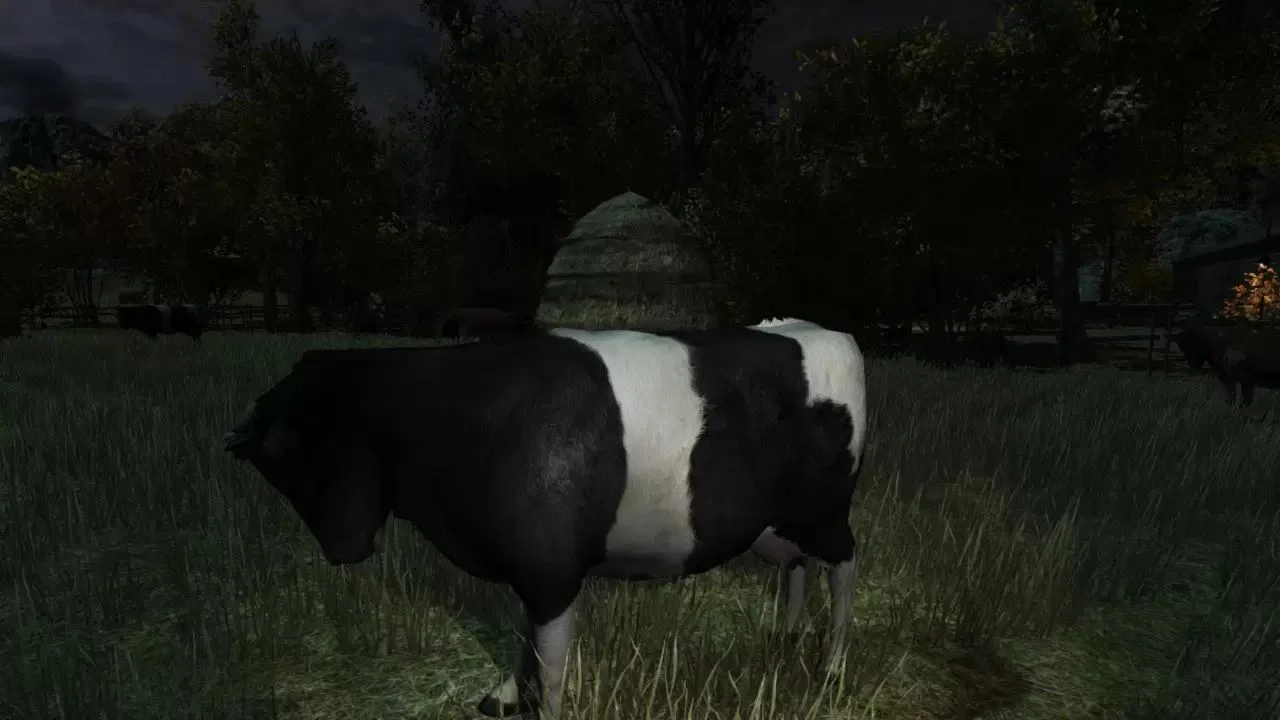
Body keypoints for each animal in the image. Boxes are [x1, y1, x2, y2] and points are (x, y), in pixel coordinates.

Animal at [223, 318, 867, 718]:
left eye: (321, 444)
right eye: (277, 459)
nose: (346, 547)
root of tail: (822, 331)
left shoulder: (552, 568)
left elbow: (550, 661)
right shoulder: (523, 563)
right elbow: (520, 632)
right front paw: (504, 696)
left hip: (825, 510)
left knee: (843, 564)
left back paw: (832, 667)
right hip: (770, 523)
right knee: (796, 564)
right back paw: (786, 639)